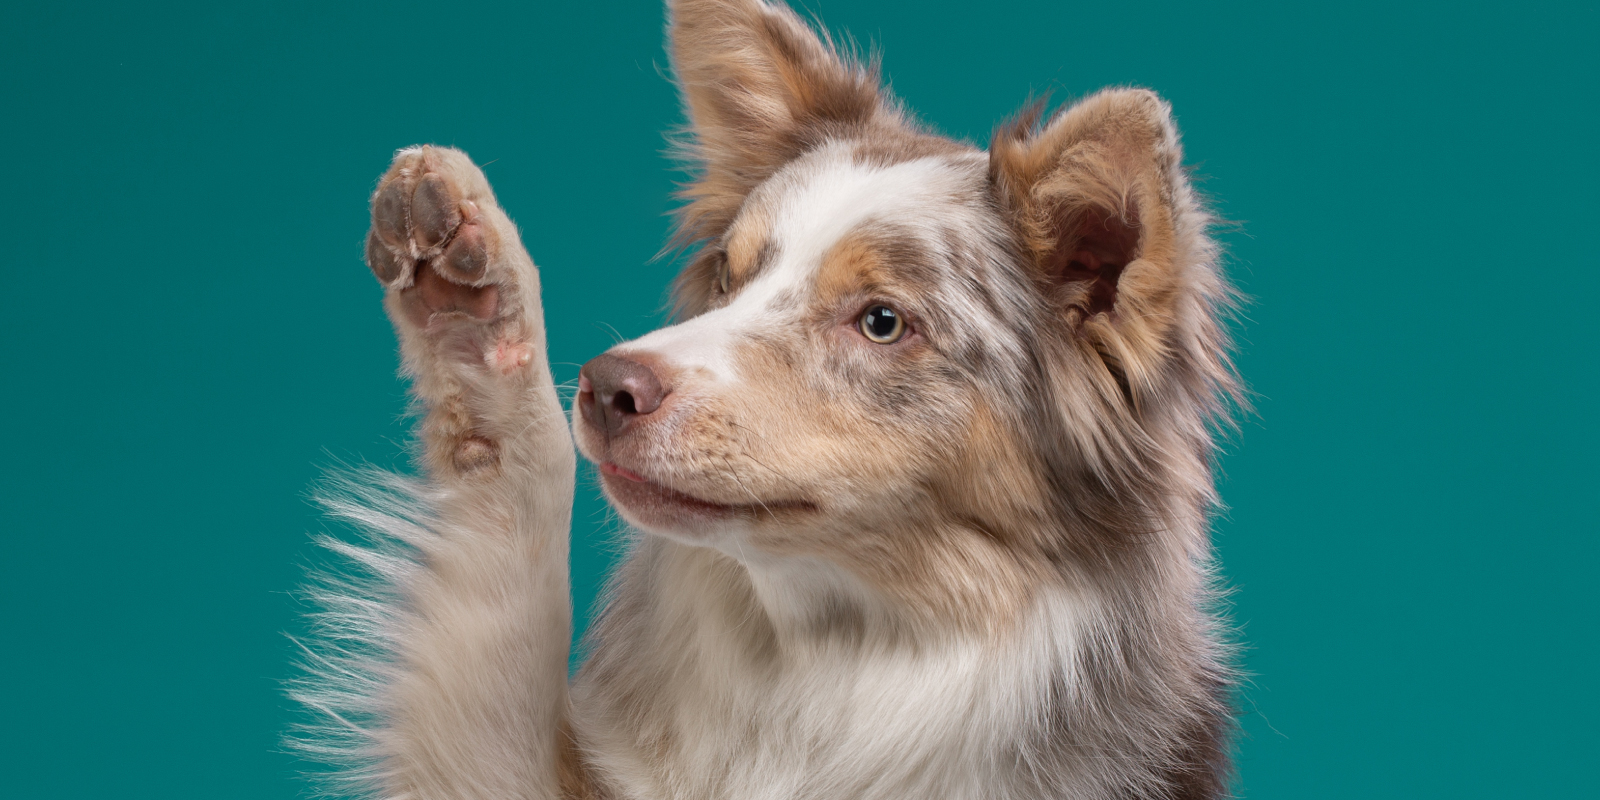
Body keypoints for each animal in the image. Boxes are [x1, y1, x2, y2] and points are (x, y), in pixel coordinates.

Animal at [302, 1, 1248, 800]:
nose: (606, 387)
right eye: (729, 276)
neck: (833, 669)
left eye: (881, 322)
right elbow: (505, 594)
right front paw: (475, 310)